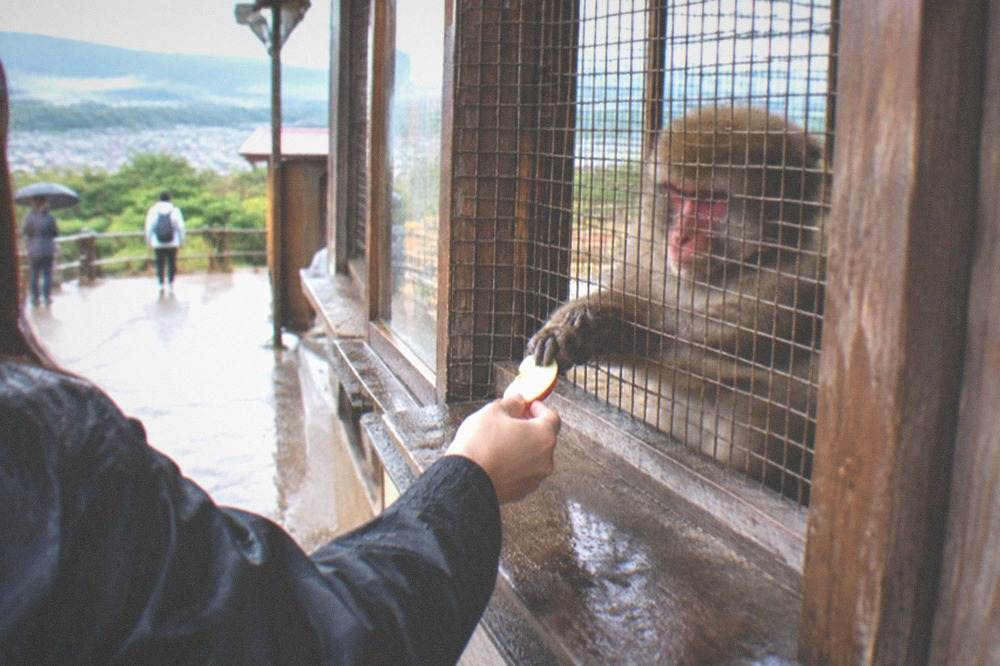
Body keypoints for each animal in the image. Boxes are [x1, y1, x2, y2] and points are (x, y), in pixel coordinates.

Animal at [527, 106, 827, 500]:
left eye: (712, 200)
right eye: (677, 194)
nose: (680, 237)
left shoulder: (807, 272)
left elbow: (724, 352)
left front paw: (611, 331)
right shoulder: (646, 241)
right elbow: (632, 293)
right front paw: (577, 324)